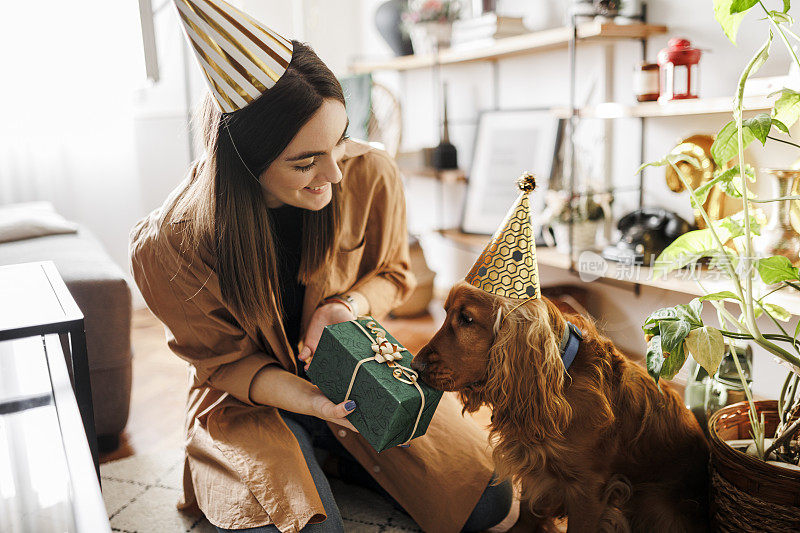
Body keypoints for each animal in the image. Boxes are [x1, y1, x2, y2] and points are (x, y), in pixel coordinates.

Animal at [410, 280, 708, 528]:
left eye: (467, 319)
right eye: (446, 312)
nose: (416, 366)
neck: (562, 378)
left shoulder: (589, 488)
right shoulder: (535, 463)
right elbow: (527, 514)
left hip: (653, 503)